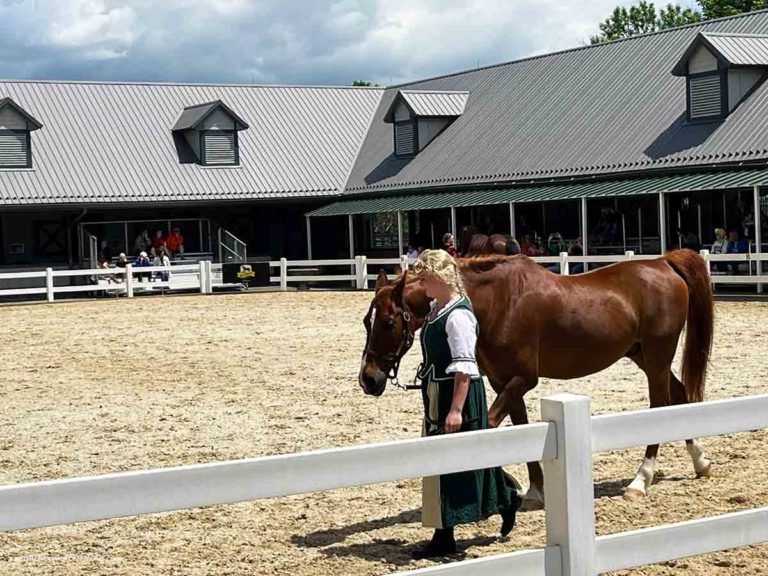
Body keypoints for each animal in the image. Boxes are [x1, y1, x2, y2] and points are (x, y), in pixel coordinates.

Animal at [360, 250, 712, 510]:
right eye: (367, 320)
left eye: (388, 322)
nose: (368, 379)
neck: (498, 304)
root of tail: (663, 262)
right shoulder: (505, 383)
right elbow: (520, 428)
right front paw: (533, 492)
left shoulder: (522, 379)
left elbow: (489, 425)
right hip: (644, 357)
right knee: (679, 396)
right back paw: (700, 462)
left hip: (656, 358)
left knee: (661, 405)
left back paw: (640, 481)